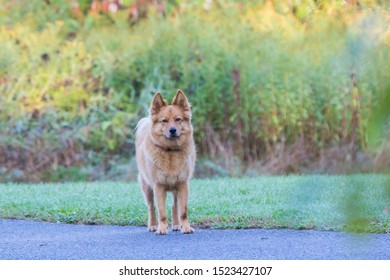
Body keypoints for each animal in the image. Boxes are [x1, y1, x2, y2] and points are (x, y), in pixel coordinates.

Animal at [136, 90, 195, 234]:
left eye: (178, 119)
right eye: (164, 121)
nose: (172, 130)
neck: (170, 151)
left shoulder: (182, 185)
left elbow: (183, 211)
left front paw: (185, 227)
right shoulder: (158, 187)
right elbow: (161, 211)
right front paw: (162, 228)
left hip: (175, 189)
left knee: (175, 205)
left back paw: (176, 225)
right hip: (147, 187)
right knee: (151, 207)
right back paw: (152, 225)